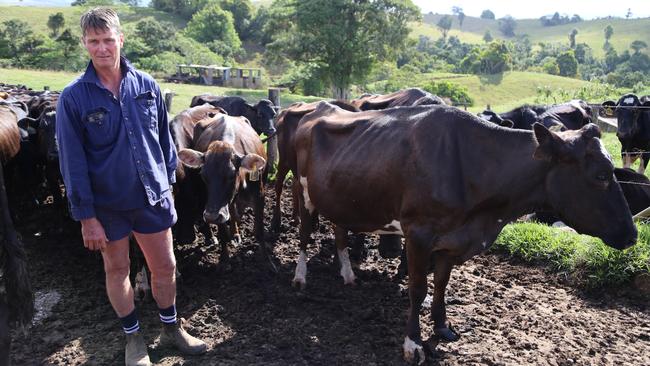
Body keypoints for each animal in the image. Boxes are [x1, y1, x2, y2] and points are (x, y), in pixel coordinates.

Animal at [175, 112, 266, 266]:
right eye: (203, 175)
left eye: (231, 175)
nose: (211, 216)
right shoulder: (215, 207)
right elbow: (223, 232)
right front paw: (224, 259)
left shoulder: (259, 195)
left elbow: (259, 232)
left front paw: (264, 259)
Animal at [292, 101, 636, 364]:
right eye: (602, 175)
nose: (632, 234)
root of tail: (318, 108)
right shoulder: (418, 233)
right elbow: (418, 288)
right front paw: (413, 343)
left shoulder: (453, 240)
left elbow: (442, 284)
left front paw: (442, 327)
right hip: (303, 190)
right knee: (304, 234)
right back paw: (300, 277)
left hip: (337, 195)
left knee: (339, 229)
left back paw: (348, 274)